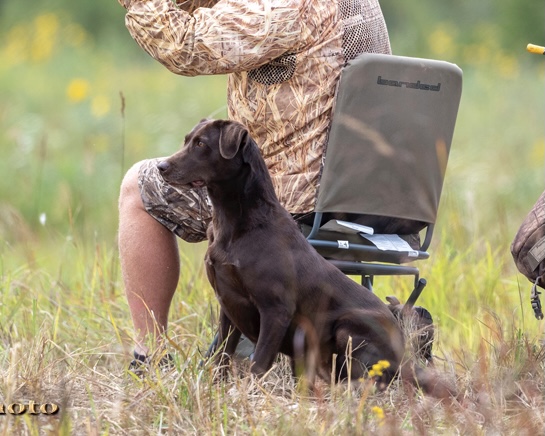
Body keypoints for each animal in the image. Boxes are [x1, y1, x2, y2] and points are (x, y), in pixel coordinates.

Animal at [156, 119, 450, 398]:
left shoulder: (276, 309)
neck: (236, 222)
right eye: (187, 140)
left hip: (347, 328)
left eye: (201, 144)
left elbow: (258, 362)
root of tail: (405, 354)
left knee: (367, 380)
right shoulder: (228, 305)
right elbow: (222, 356)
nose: (161, 166)